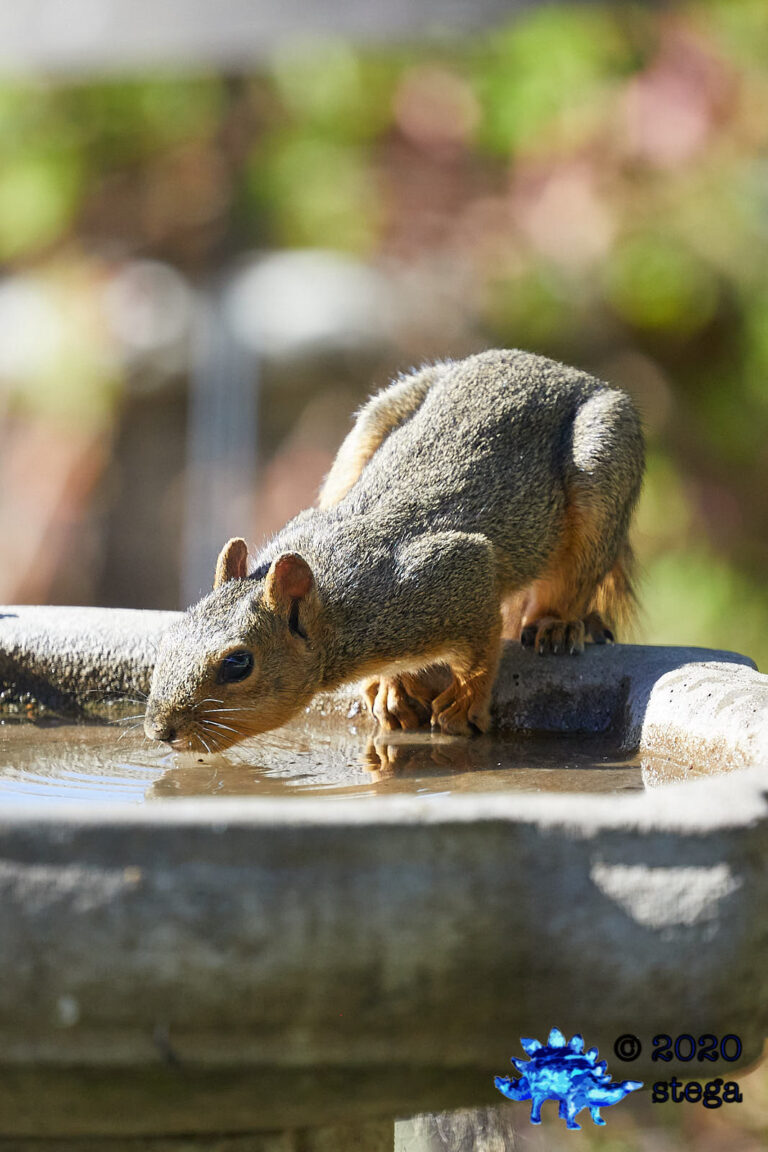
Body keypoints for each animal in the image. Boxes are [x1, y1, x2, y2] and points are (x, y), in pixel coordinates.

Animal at [144, 349, 644, 752]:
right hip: (374, 423)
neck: (339, 599)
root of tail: (560, 369)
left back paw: (556, 625)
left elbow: (481, 650)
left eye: (238, 664)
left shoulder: (458, 570)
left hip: (601, 463)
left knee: (574, 581)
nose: (160, 731)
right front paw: (389, 688)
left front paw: (464, 703)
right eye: (168, 638)